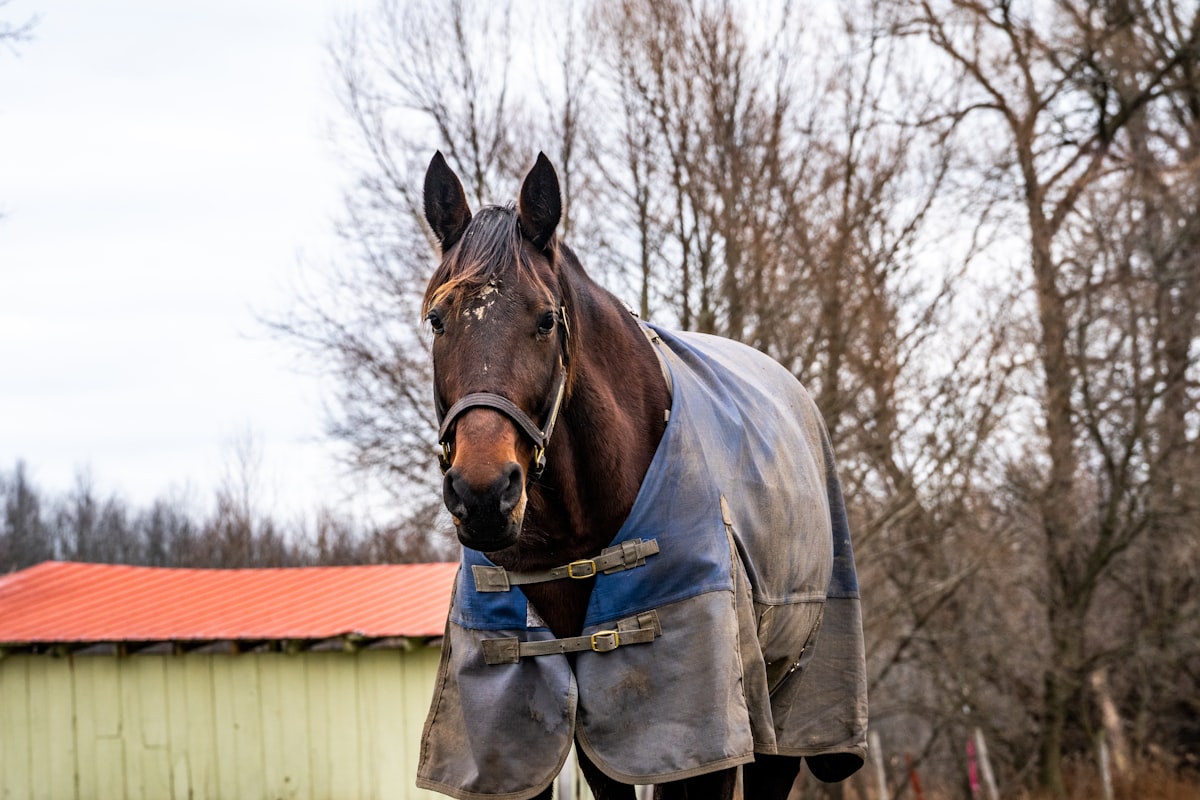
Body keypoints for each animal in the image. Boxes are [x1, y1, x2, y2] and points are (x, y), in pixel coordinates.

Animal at [415, 152, 867, 800]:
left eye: (546, 320)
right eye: (437, 320)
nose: (482, 495)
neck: (576, 535)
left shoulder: (699, 727)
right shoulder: (584, 731)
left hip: (788, 698)